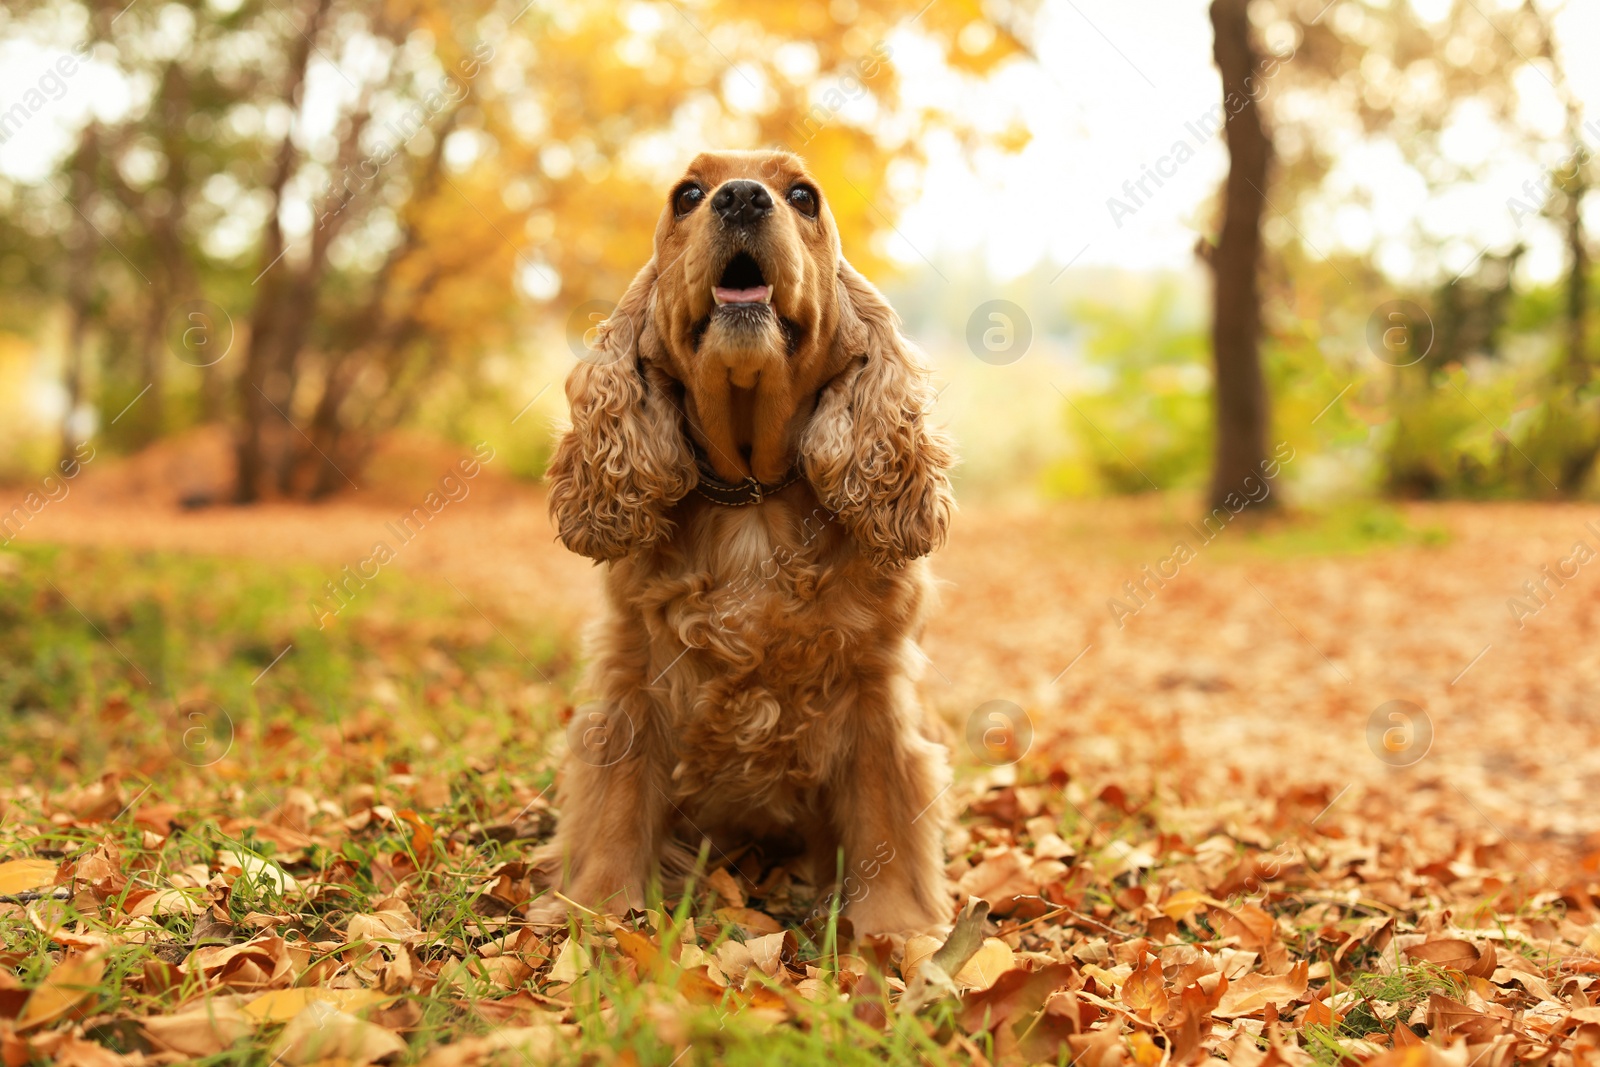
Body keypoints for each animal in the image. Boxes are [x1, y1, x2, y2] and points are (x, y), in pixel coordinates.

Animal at [544, 147, 953, 934]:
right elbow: (617, 801)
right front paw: (600, 911)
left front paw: (895, 929)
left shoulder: (876, 685)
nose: (739, 197)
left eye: (803, 196)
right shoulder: (632, 671)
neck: (754, 501)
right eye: (686, 195)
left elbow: (886, 813)